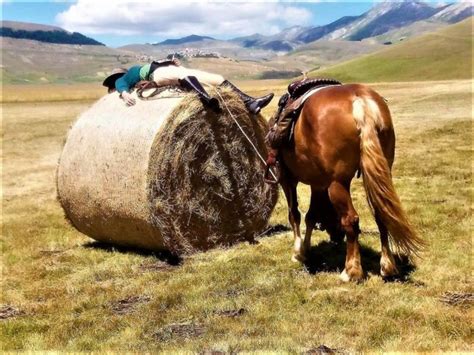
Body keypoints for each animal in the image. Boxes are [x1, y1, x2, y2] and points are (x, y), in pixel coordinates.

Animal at [276, 82, 424, 280]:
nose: (336, 238)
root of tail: (361, 101)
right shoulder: (318, 184)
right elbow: (311, 215)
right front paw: (305, 249)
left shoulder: (287, 179)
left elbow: (295, 215)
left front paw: (299, 252)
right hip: (380, 170)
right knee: (381, 214)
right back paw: (387, 266)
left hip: (337, 182)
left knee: (351, 219)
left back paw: (351, 271)